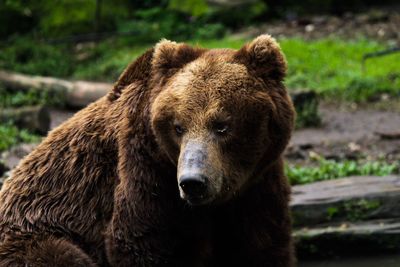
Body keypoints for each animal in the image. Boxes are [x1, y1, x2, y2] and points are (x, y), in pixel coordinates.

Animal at [0, 34, 294, 266]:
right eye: (178, 126)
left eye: (221, 125)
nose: (193, 182)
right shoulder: (146, 166)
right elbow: (145, 240)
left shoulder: (258, 182)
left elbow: (262, 245)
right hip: (33, 234)